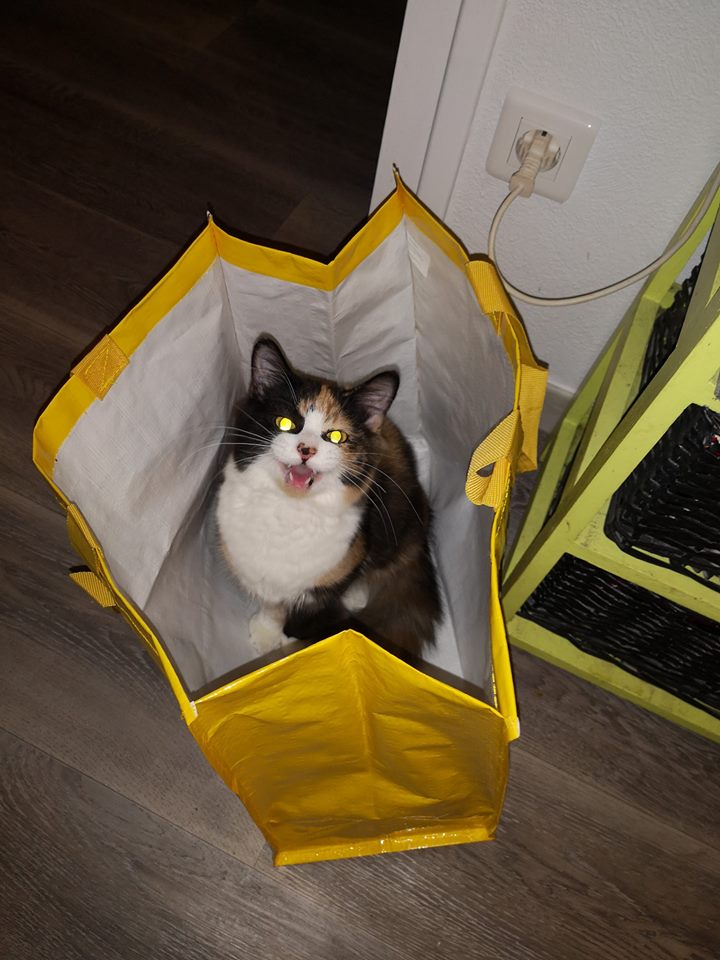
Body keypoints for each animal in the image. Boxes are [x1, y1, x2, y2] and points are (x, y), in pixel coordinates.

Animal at [216, 337, 441, 662]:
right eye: (285, 423)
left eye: (336, 437)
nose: (306, 449)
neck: (289, 510)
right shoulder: (255, 569)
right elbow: (272, 604)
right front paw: (267, 633)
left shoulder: (326, 580)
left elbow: (307, 613)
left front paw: (298, 648)